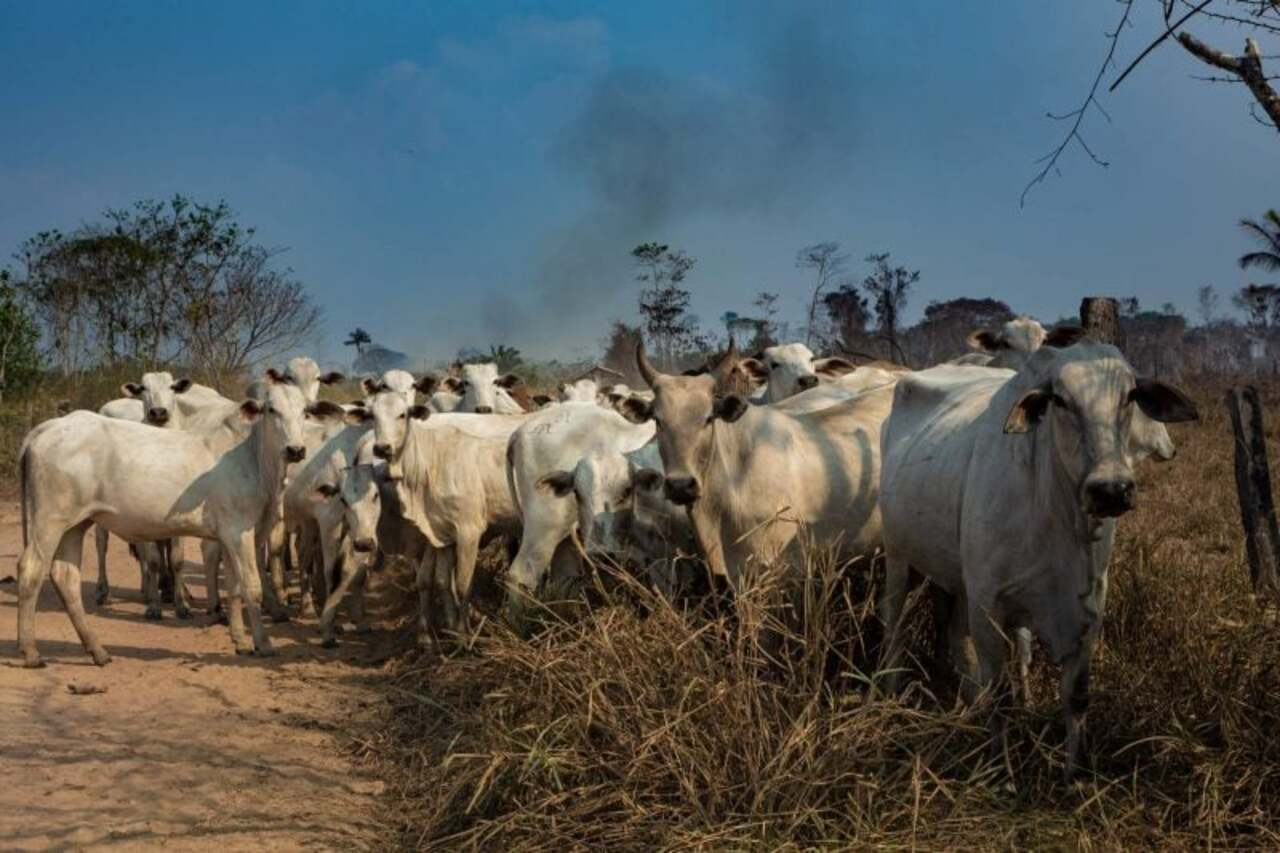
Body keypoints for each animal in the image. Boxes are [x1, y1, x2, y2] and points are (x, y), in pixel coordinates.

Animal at [17, 376, 345, 666]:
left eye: (304, 412)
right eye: (271, 410)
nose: (296, 449)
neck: (254, 461)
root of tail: (47, 427)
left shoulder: (229, 536)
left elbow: (234, 588)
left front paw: (240, 640)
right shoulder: (240, 532)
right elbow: (251, 587)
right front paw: (262, 644)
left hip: (75, 525)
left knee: (65, 576)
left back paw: (96, 650)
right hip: (49, 519)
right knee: (31, 569)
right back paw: (31, 651)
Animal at [875, 343, 1192, 773]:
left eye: (1130, 396)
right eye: (1060, 400)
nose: (1111, 489)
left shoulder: (1089, 606)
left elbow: (1076, 696)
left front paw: (1075, 773)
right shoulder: (988, 606)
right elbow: (1000, 695)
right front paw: (1001, 770)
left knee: (959, 639)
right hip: (898, 556)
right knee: (894, 622)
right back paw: (891, 689)